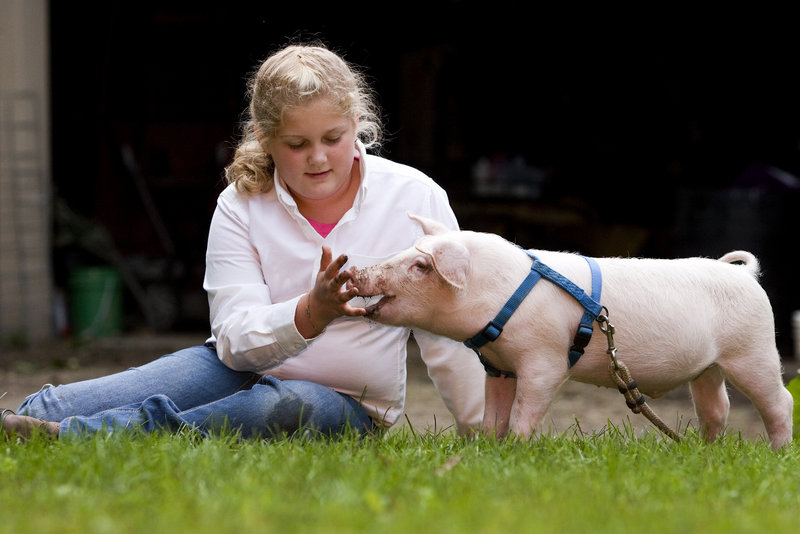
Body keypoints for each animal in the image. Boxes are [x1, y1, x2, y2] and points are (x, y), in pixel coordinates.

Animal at [352, 214, 792, 452]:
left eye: (420, 266)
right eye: (407, 252)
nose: (355, 270)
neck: (503, 296)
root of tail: (745, 275)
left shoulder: (544, 359)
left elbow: (524, 411)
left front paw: (516, 449)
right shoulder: (499, 367)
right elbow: (494, 414)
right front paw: (489, 449)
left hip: (754, 350)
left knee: (780, 401)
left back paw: (777, 454)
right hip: (708, 369)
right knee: (717, 408)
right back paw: (705, 452)